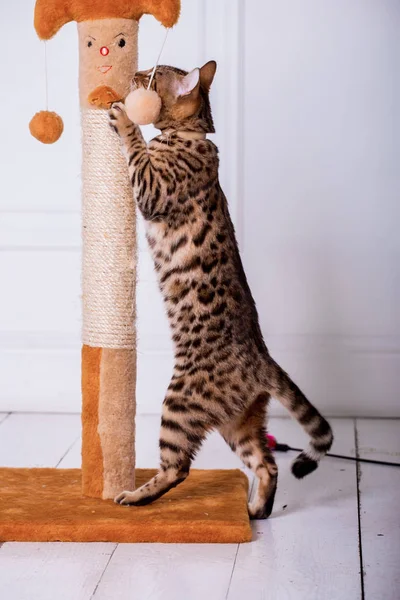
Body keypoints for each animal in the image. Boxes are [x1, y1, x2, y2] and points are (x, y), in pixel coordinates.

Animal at [108, 62, 332, 520]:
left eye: (151, 75)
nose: (135, 70)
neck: (192, 136)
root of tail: (262, 360)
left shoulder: (152, 190)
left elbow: (136, 150)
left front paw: (123, 119)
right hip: (238, 423)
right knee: (266, 464)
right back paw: (255, 510)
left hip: (180, 404)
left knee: (178, 468)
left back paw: (136, 496)